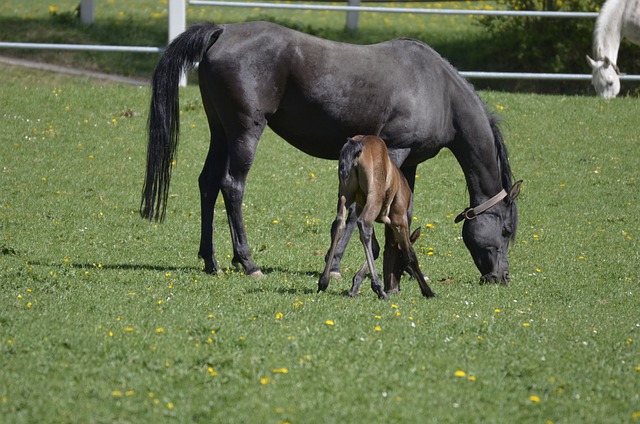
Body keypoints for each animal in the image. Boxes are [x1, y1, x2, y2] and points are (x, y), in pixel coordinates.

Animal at [318, 135, 438, 298]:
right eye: (402, 264)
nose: (394, 289)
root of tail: (358, 144)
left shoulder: (360, 207)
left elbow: (375, 248)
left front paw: (354, 286)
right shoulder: (399, 220)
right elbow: (410, 253)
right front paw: (428, 291)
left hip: (345, 194)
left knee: (339, 224)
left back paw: (323, 281)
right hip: (374, 197)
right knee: (363, 223)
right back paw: (379, 288)